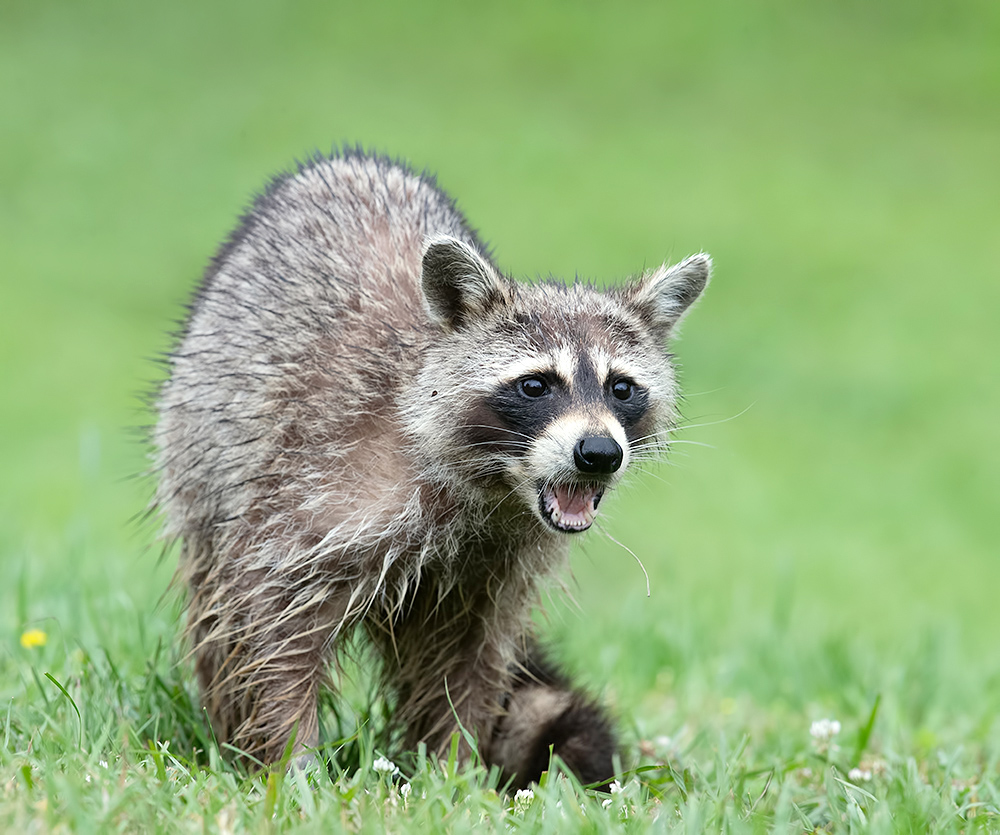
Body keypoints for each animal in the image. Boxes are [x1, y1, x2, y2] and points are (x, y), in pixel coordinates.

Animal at [153, 149, 709, 788]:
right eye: (536, 385)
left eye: (622, 388)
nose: (598, 453)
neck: (494, 487)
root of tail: (349, 160)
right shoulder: (307, 487)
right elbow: (270, 626)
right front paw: (290, 761)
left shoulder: (496, 568)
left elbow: (468, 666)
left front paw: (453, 775)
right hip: (201, 456)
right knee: (217, 612)